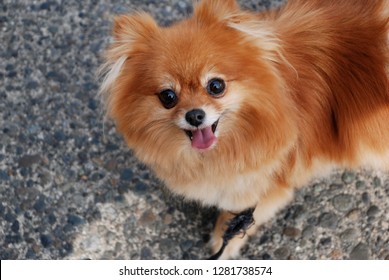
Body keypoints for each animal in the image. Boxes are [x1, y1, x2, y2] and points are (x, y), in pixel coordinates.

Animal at [100, 0, 388, 258]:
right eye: (168, 97)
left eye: (216, 86)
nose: (195, 115)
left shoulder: (266, 186)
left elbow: (238, 216)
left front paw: (222, 244)